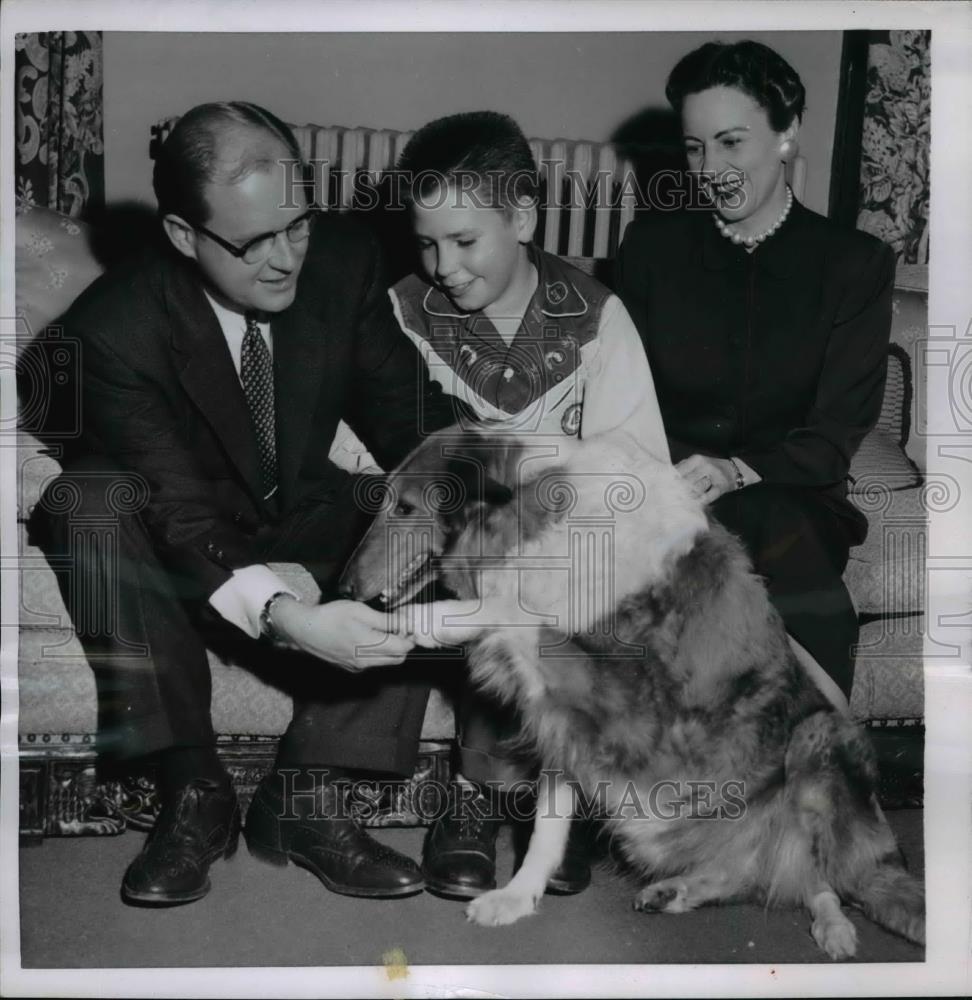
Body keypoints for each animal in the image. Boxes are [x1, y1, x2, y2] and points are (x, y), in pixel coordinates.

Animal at [342, 426, 928, 956]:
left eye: (405, 507)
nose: (345, 588)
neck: (537, 525)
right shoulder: (563, 725)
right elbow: (546, 829)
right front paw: (517, 898)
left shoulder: (621, 700)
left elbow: (515, 613)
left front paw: (418, 623)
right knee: (762, 877)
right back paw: (678, 890)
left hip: (819, 737)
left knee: (826, 880)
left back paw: (835, 929)